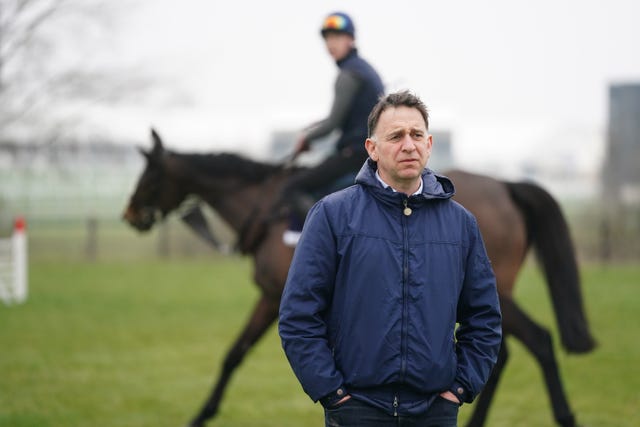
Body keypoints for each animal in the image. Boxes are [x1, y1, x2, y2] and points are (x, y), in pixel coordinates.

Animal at [124, 130, 596, 427]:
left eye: (150, 175)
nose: (129, 214)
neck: (263, 205)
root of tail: (504, 185)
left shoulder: (273, 297)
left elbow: (233, 355)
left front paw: (200, 414)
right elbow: (235, 355)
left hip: (494, 289)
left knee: (536, 341)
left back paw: (564, 415)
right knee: (501, 353)